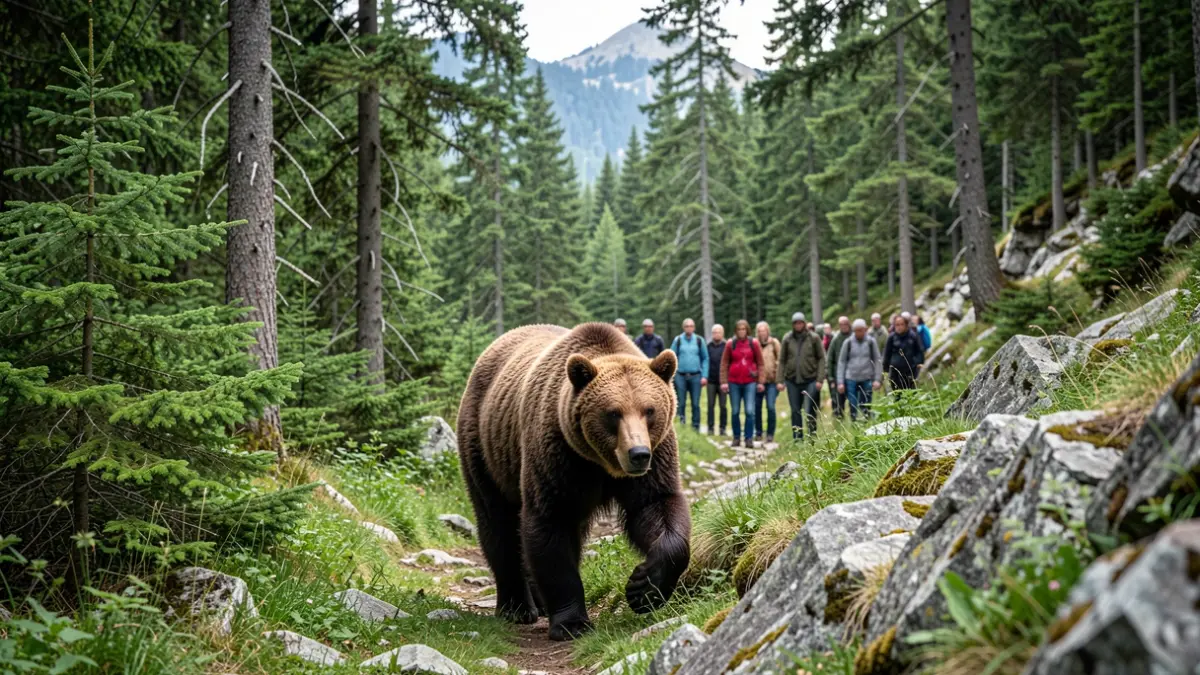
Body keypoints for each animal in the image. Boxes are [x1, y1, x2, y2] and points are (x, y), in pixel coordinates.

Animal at [456, 322, 691, 641]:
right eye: (613, 413)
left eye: (649, 410)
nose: (638, 454)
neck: (602, 465)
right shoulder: (558, 458)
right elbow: (551, 527)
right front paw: (572, 623)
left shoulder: (656, 460)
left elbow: (657, 508)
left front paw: (643, 588)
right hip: (486, 448)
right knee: (497, 522)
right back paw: (517, 607)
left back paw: (538, 602)